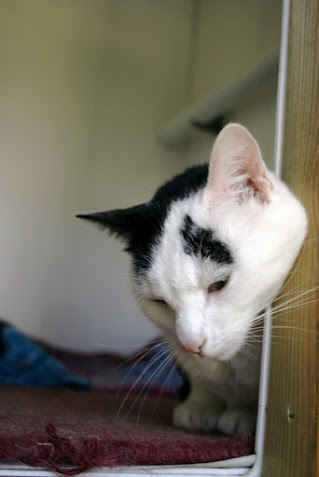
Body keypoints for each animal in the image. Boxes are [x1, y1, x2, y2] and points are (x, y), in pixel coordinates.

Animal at [77, 123, 308, 436]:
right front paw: (199, 406)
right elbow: (201, 382)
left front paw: (244, 414)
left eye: (219, 284)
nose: (191, 345)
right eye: (159, 301)